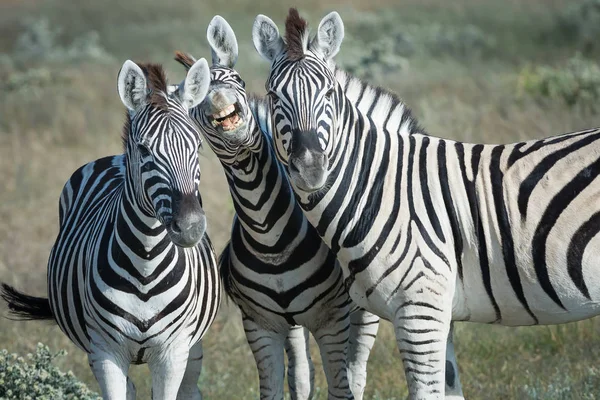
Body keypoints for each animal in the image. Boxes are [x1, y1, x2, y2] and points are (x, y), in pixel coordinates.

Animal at [0, 57, 221, 398]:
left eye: (197, 146)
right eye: (144, 150)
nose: (190, 227)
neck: (146, 264)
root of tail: (116, 157)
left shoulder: (173, 352)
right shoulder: (105, 353)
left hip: (192, 347)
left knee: (190, 388)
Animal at [173, 14, 378, 398]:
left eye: (236, 80)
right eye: (195, 100)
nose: (218, 99)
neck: (268, 234)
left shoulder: (333, 318)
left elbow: (341, 385)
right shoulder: (260, 324)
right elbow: (273, 387)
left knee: (357, 367)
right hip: (293, 323)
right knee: (301, 372)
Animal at [252, 8, 600, 400]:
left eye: (328, 93)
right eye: (273, 95)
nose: (310, 168)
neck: (381, 188)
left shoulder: (419, 310)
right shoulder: (436, 311)